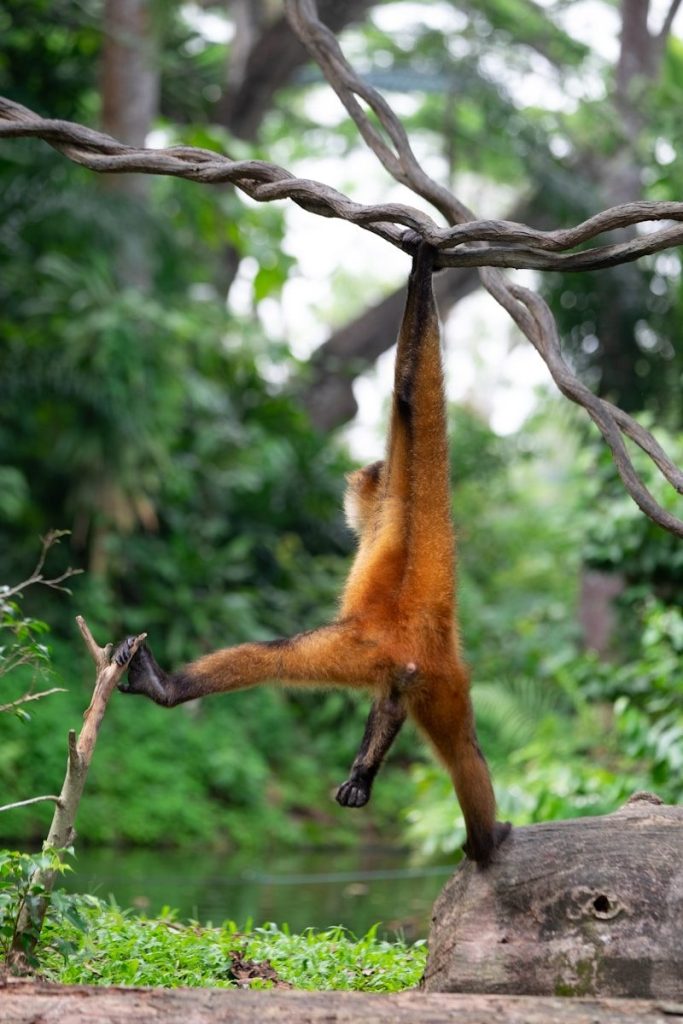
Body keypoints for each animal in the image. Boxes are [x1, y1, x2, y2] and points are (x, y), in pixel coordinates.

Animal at [115, 243, 511, 866]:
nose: (349, 504)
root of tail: (423, 632)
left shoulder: (397, 496)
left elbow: (408, 398)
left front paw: (422, 266)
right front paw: (361, 779)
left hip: (367, 648)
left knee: (278, 657)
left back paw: (165, 685)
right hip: (431, 679)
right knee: (462, 748)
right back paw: (486, 840)